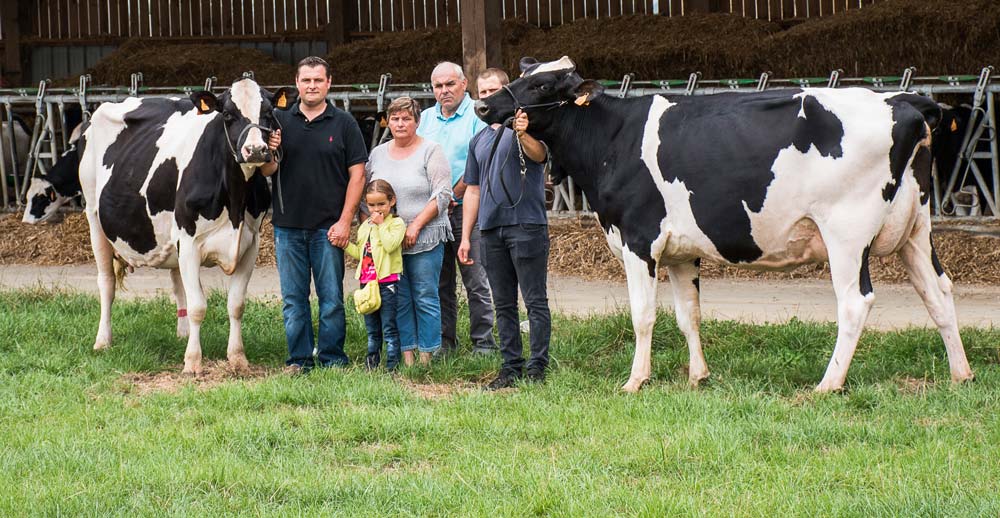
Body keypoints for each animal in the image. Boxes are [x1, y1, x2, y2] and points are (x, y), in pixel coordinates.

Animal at [78, 77, 296, 376]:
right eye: (228, 115)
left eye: (269, 112)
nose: (255, 150)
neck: (235, 201)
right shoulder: (190, 241)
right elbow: (198, 306)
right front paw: (193, 362)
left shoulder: (250, 243)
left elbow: (236, 304)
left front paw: (237, 358)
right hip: (94, 218)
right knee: (106, 283)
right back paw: (102, 341)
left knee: (176, 281)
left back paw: (182, 334)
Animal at [478, 57, 976, 394]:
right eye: (523, 76)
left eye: (541, 83)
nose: (485, 106)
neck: (612, 138)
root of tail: (903, 99)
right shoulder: (680, 252)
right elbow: (689, 314)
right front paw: (698, 376)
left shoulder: (640, 241)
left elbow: (643, 315)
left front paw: (635, 380)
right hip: (915, 230)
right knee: (938, 293)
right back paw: (961, 374)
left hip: (847, 235)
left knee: (855, 303)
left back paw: (827, 384)